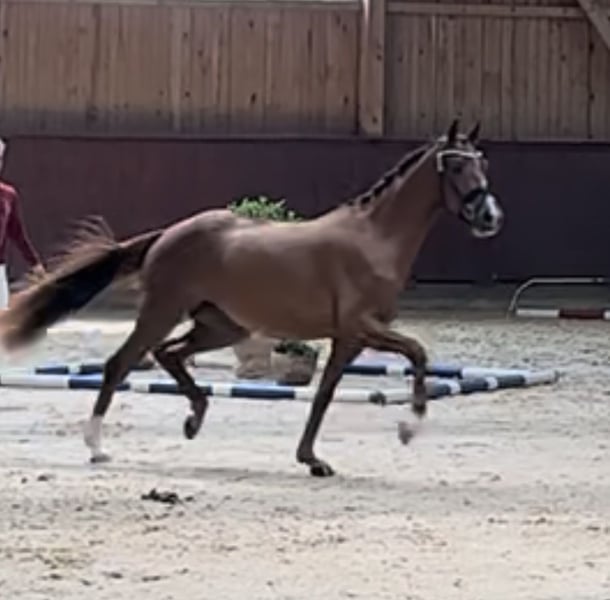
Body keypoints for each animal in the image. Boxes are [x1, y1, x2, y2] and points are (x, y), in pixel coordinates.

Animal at [0, 119, 504, 477]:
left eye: (482, 163)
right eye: (457, 166)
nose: (489, 216)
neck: (373, 239)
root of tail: (169, 233)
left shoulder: (350, 338)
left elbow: (324, 394)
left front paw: (312, 459)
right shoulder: (361, 328)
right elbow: (417, 352)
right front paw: (408, 427)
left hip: (222, 325)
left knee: (169, 354)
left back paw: (195, 417)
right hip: (164, 311)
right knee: (120, 363)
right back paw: (98, 447)